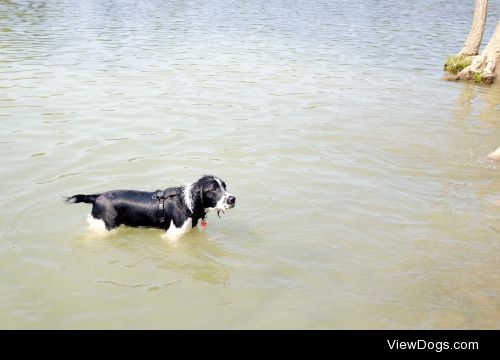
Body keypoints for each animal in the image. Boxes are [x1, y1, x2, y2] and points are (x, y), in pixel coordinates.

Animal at [67, 175, 236, 239]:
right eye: (213, 189)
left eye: (224, 186)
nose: (233, 199)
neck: (186, 203)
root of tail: (97, 196)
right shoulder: (172, 236)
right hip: (104, 227)